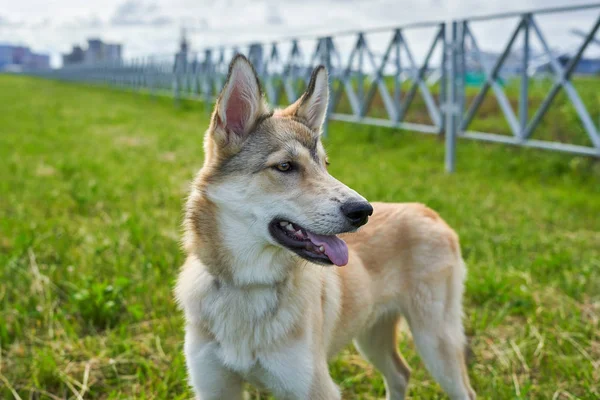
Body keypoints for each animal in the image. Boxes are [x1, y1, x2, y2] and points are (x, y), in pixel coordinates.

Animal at [175, 54, 478, 400]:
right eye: (285, 166)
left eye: (325, 164)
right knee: (401, 374)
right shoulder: (214, 388)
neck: (248, 286)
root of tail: (428, 211)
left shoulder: (315, 387)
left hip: (435, 342)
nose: (363, 211)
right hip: (372, 336)